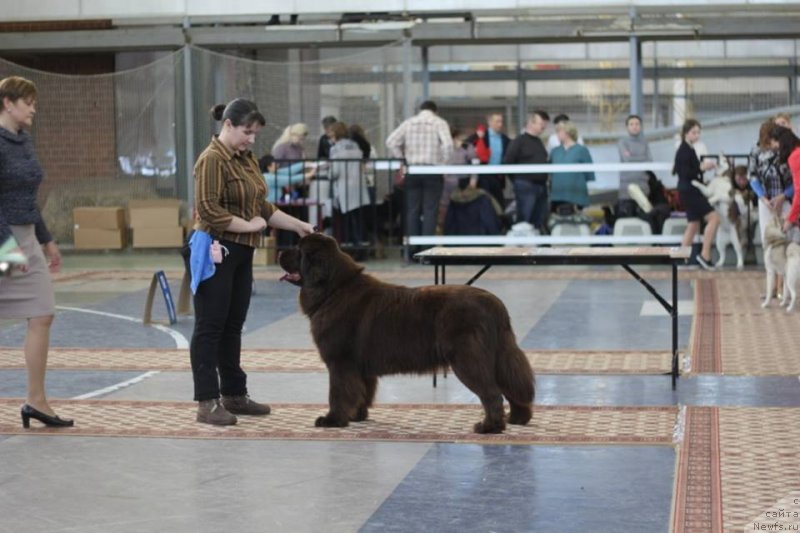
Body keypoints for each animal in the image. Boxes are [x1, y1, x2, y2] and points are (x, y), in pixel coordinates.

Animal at [278, 234, 536, 432]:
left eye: (298, 250)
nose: (279, 251)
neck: (334, 290)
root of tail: (495, 304)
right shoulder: (360, 366)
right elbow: (362, 391)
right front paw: (356, 416)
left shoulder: (340, 362)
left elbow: (339, 392)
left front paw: (333, 420)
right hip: (499, 354)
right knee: (512, 386)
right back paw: (517, 418)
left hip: (467, 360)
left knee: (492, 393)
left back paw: (489, 427)